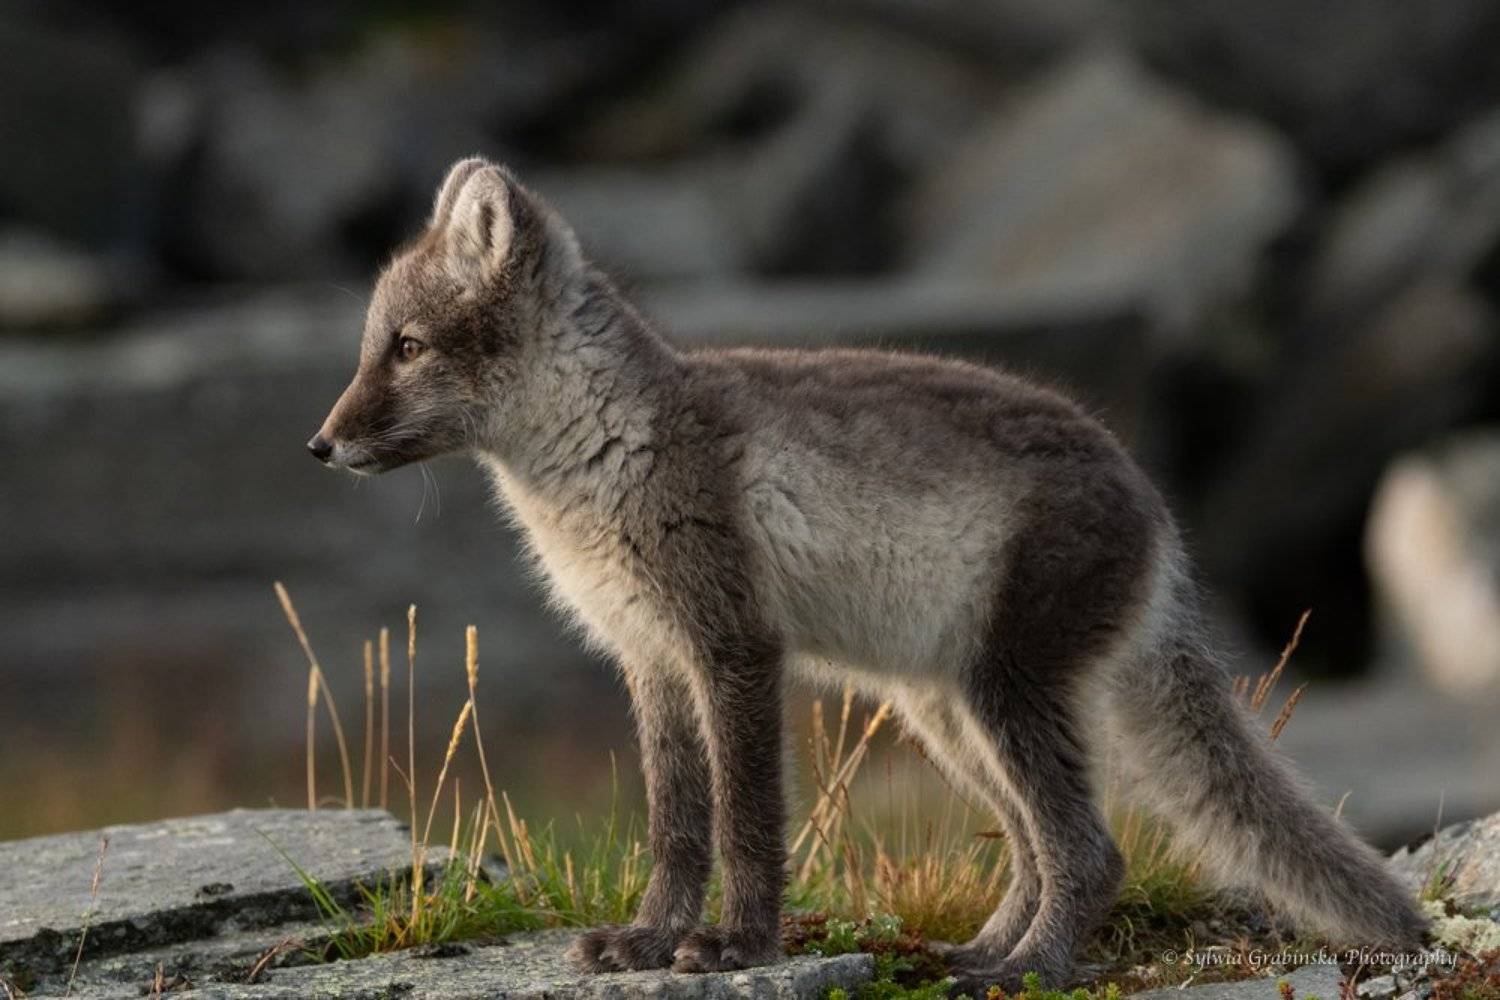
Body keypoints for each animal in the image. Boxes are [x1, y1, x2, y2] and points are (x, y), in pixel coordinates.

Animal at [308, 157, 1425, 993]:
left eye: (406, 346)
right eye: (375, 346)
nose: (318, 446)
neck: (601, 452)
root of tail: (1158, 511)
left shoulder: (736, 648)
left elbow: (747, 823)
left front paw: (735, 947)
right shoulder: (652, 661)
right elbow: (676, 829)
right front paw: (647, 942)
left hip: (1006, 692)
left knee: (1089, 850)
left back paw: (1030, 972)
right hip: (947, 714)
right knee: (1035, 848)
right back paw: (977, 954)